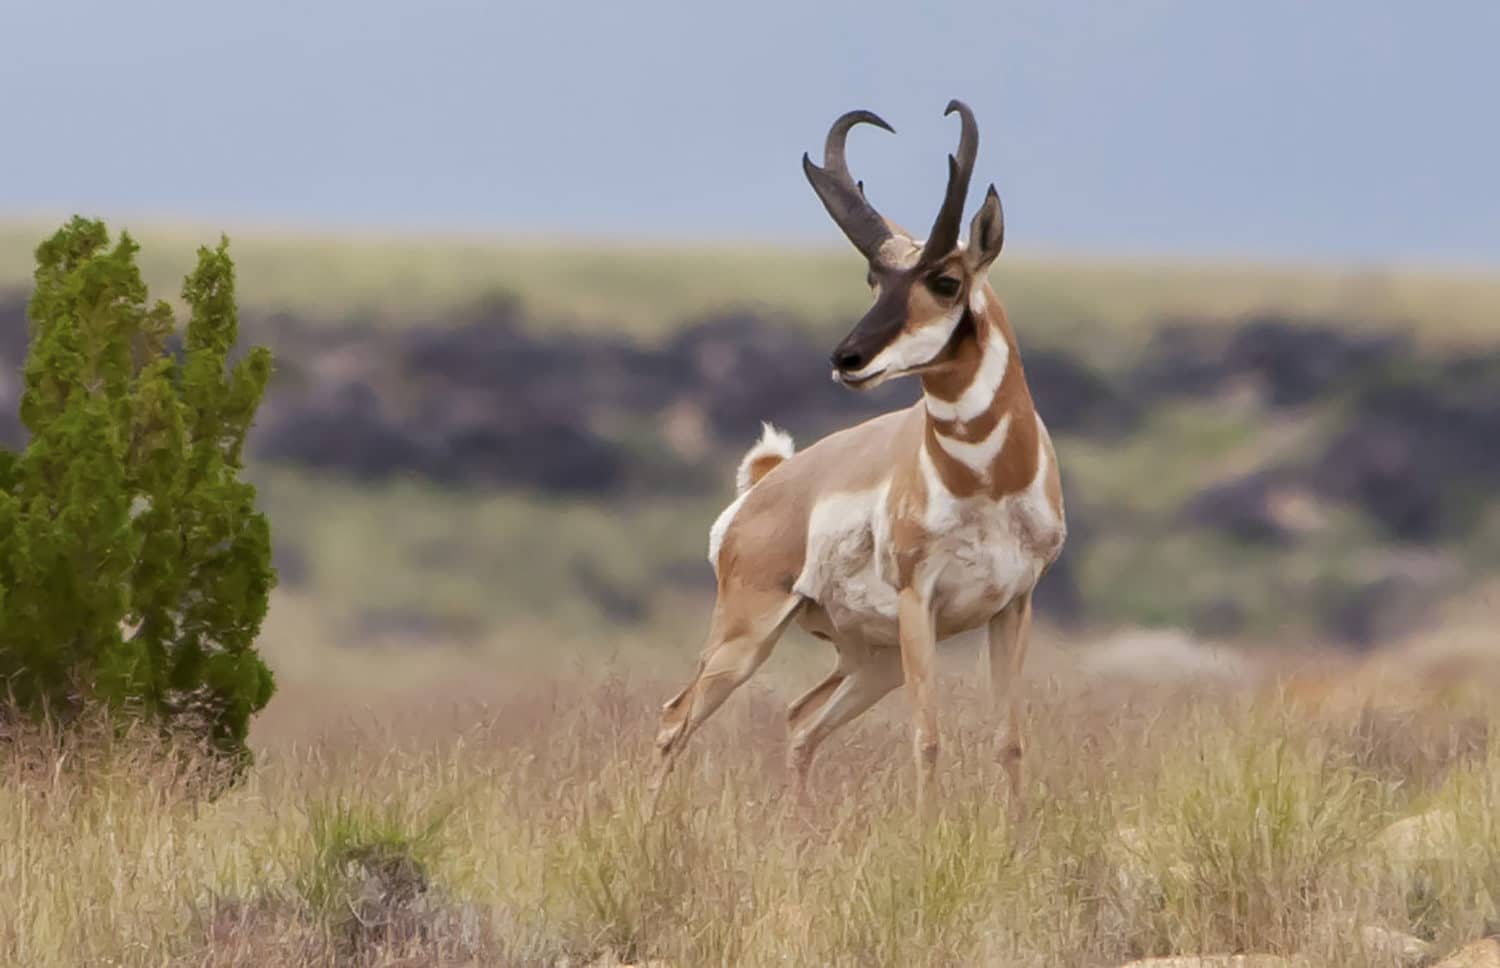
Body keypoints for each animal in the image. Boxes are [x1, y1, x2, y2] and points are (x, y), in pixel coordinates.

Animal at [651, 99, 1062, 810]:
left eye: (946, 280)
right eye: (875, 278)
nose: (847, 358)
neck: (986, 481)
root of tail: (768, 486)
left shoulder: (1014, 606)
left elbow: (1009, 743)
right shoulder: (919, 604)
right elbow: (928, 740)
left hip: (871, 661)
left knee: (798, 720)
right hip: (748, 637)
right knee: (676, 720)